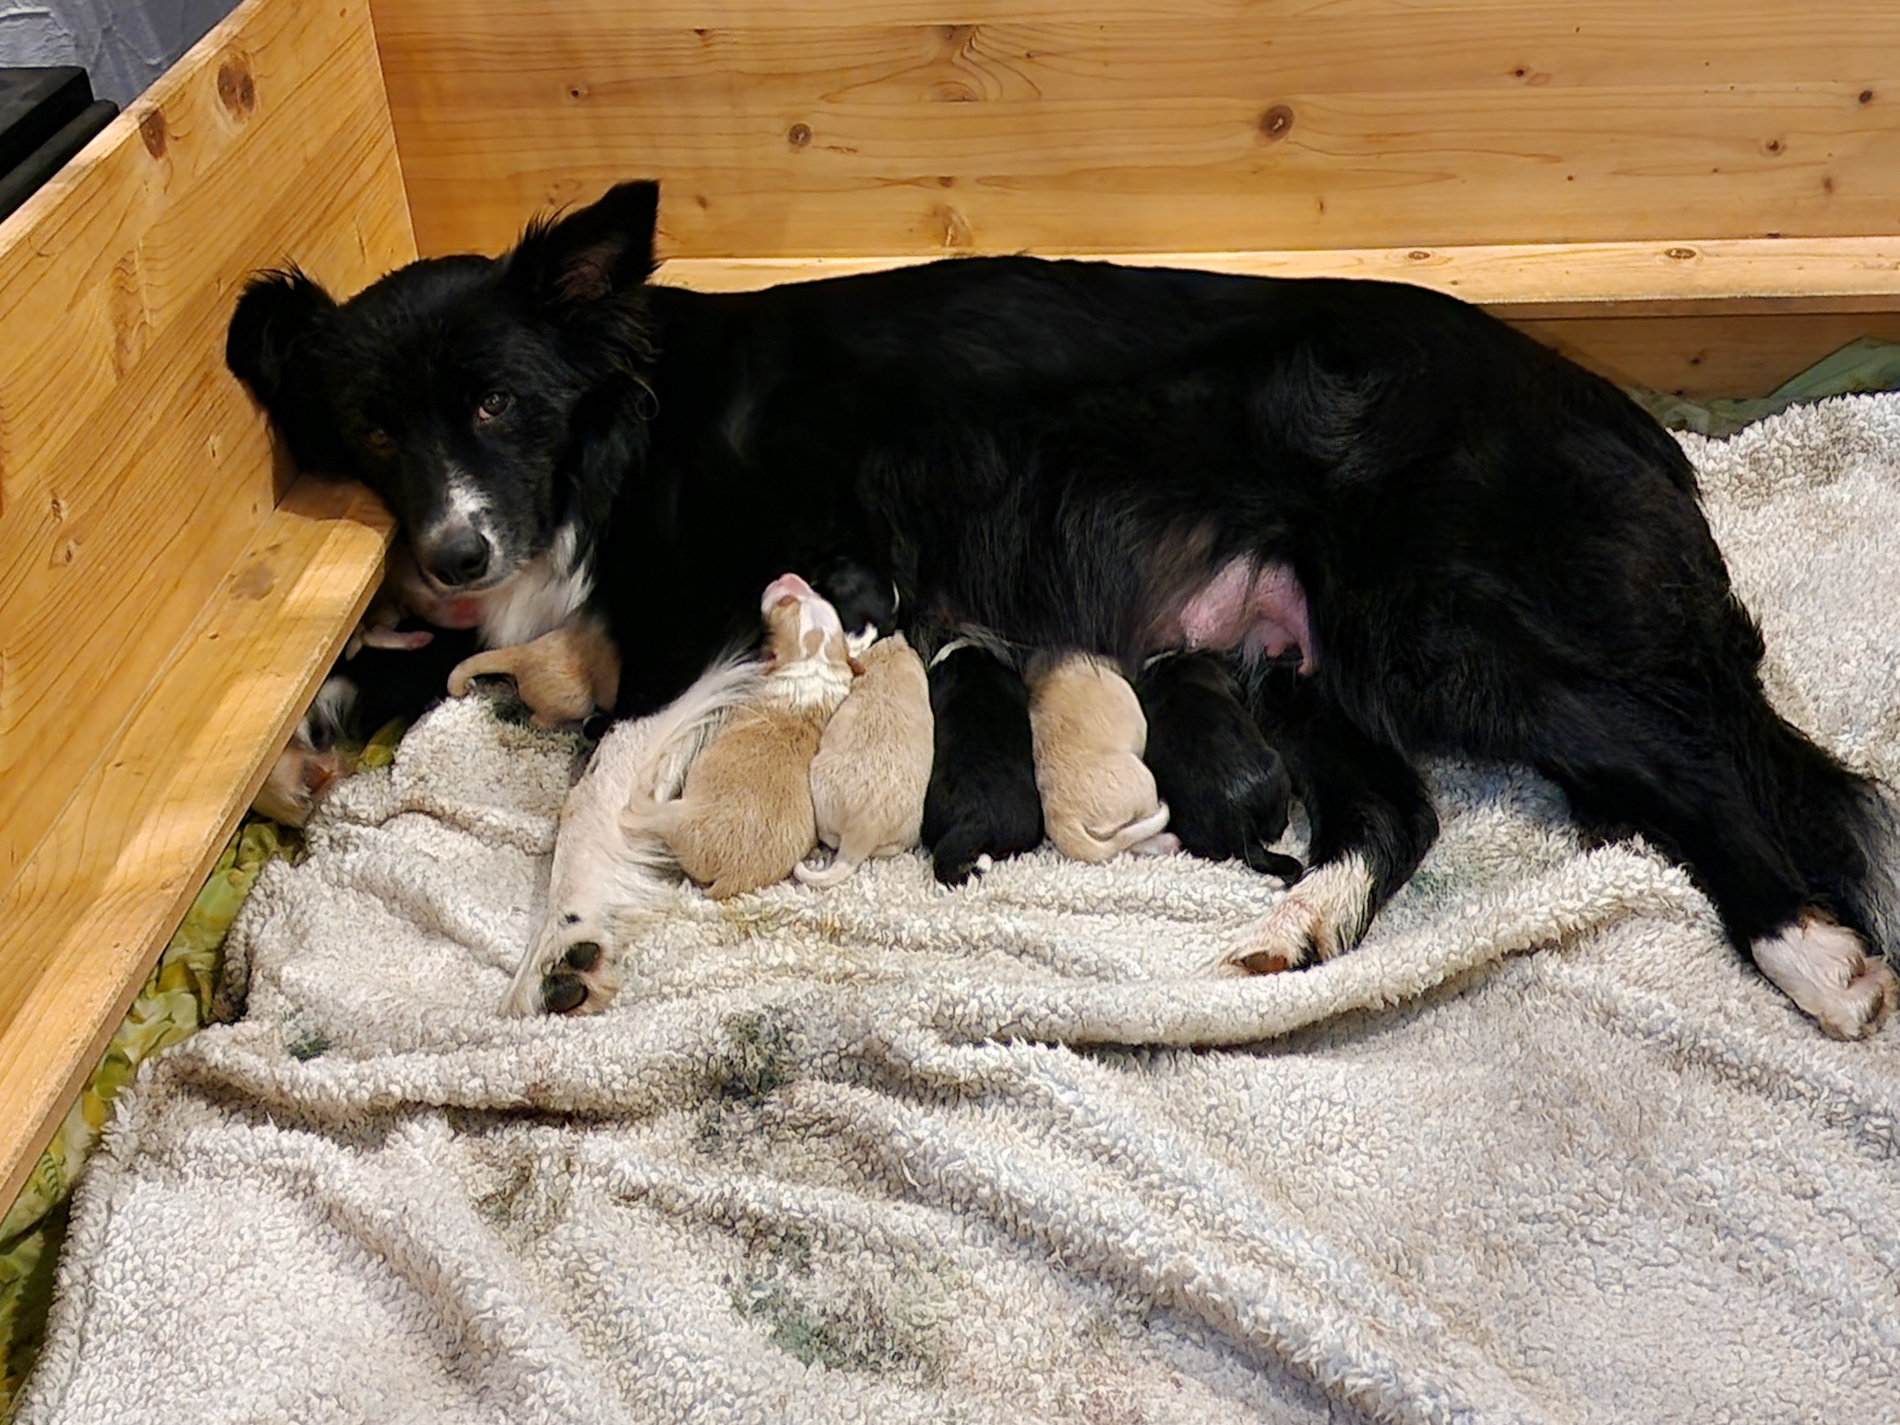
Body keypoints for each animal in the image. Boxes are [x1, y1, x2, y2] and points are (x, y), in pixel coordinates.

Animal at [624, 574, 855, 900]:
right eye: (816, 594)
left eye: (786, 604)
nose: (788, 577)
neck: (813, 669)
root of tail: (732, 878)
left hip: (676, 816)